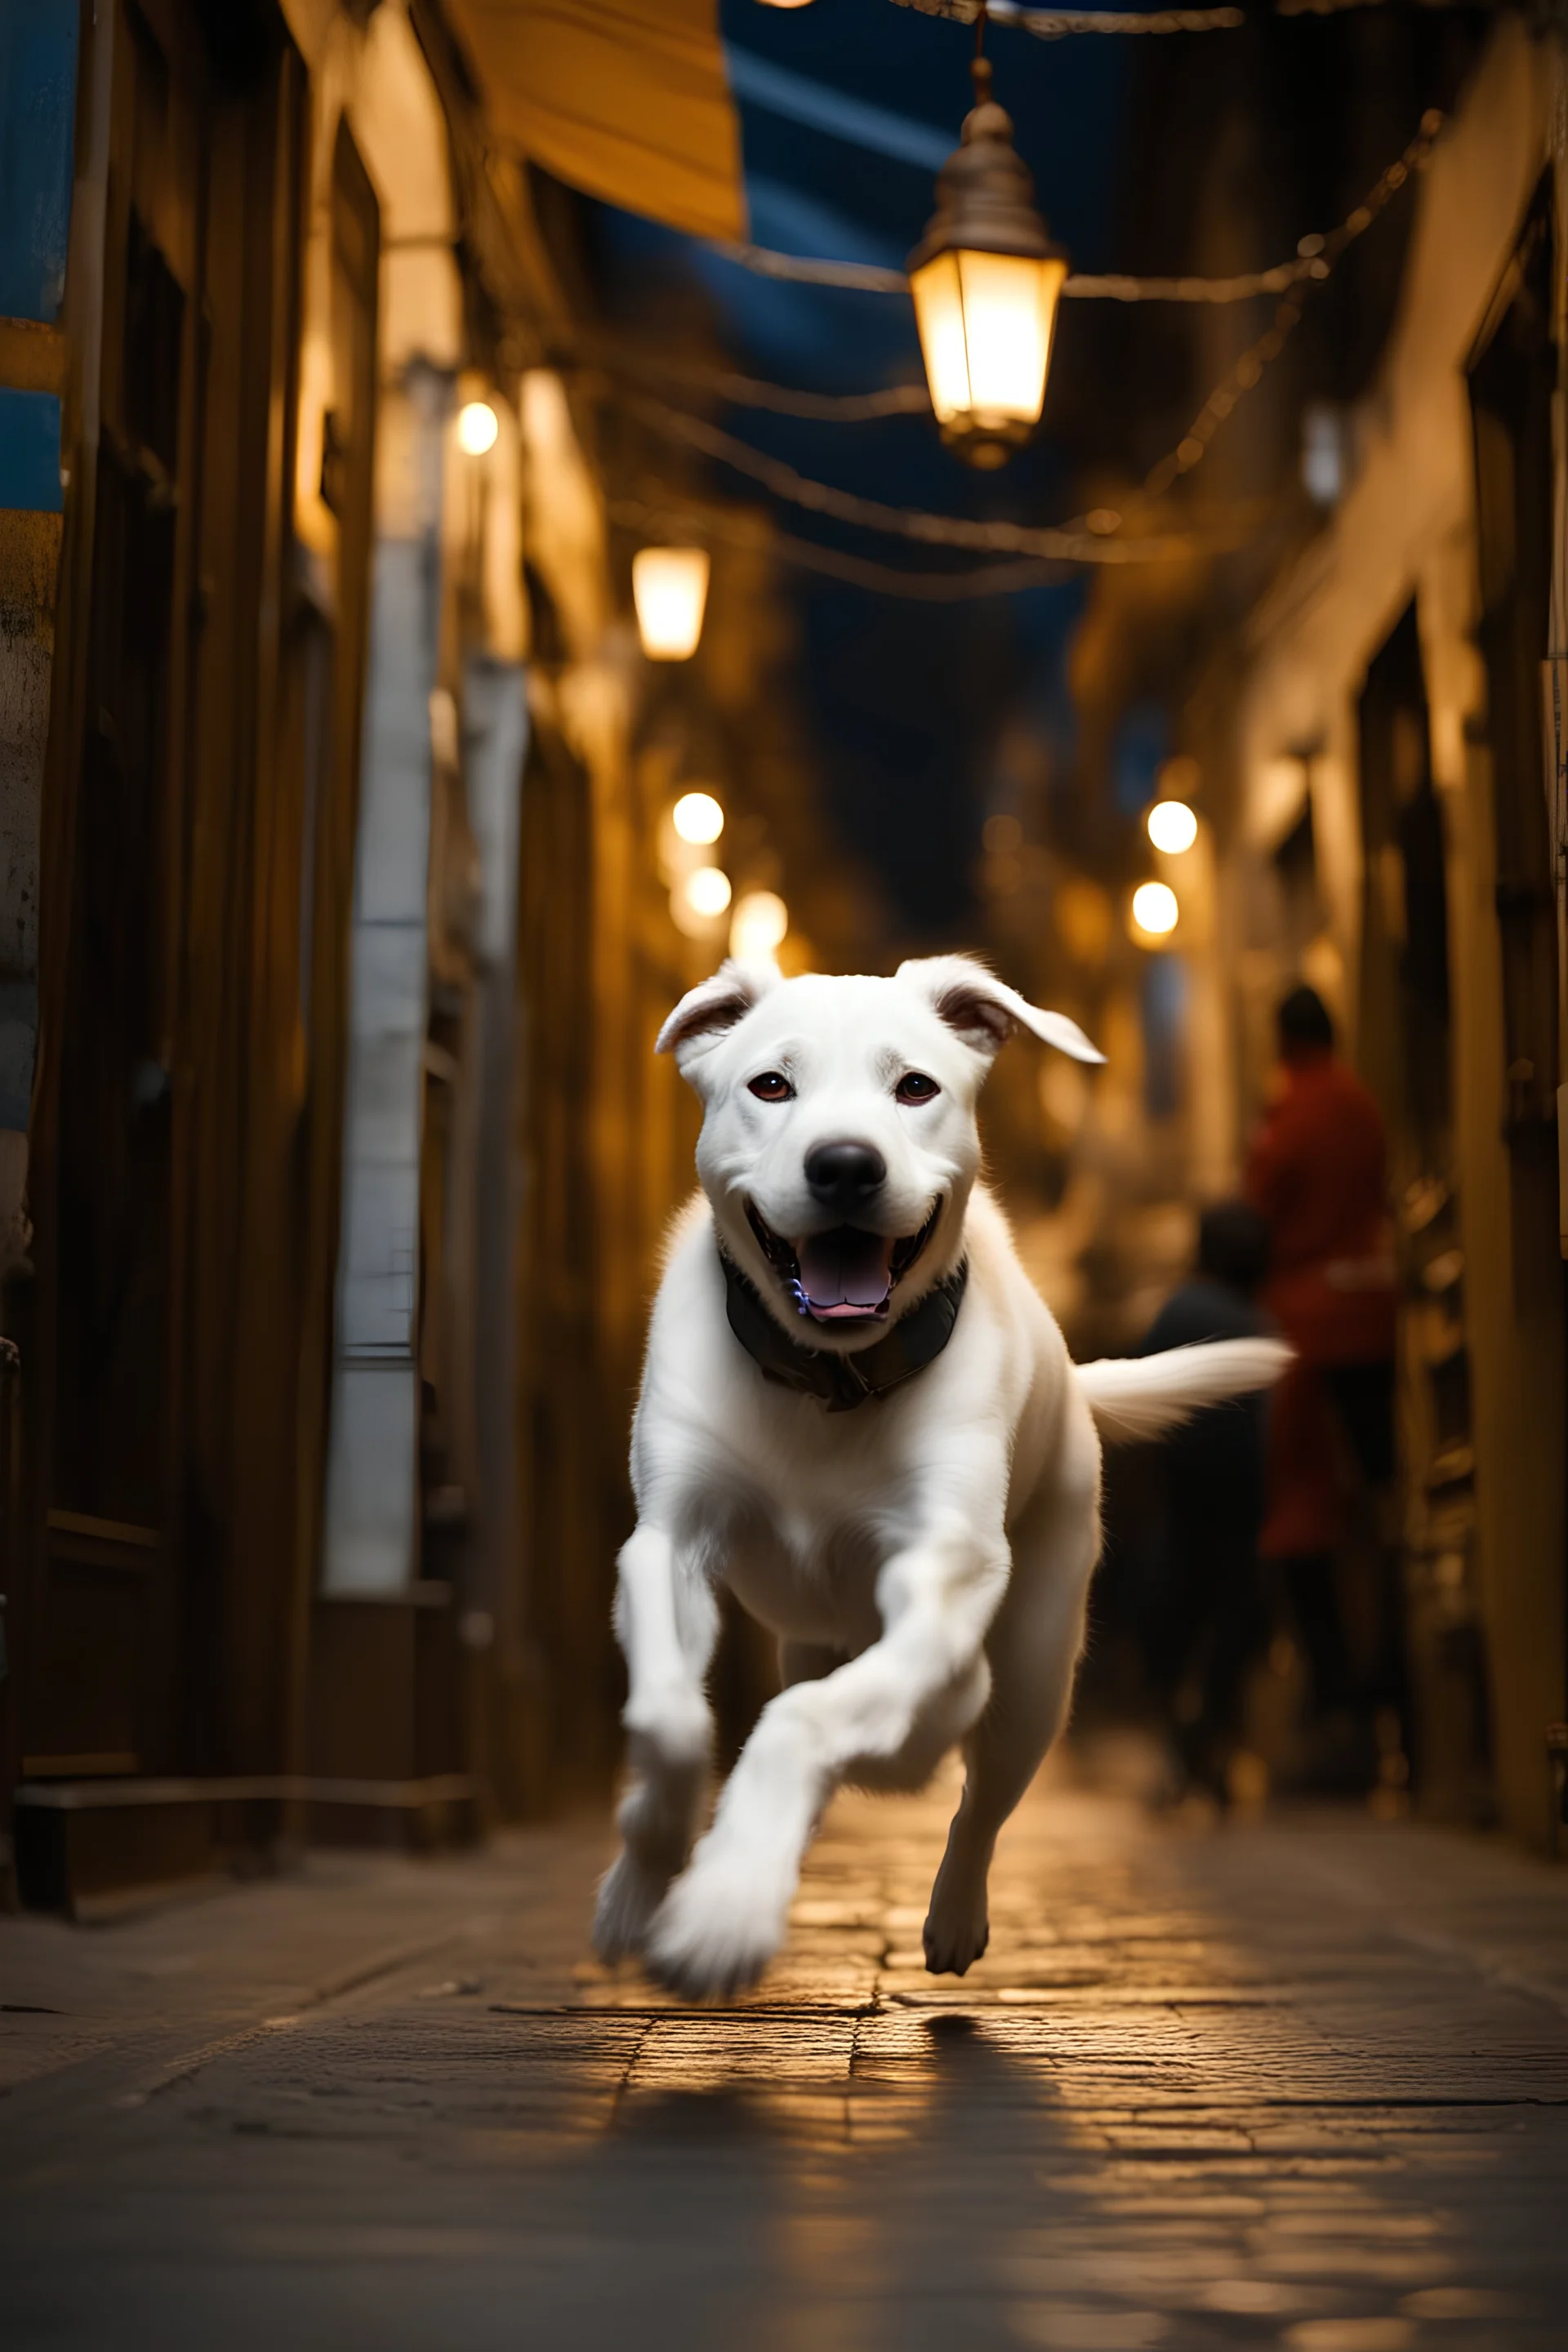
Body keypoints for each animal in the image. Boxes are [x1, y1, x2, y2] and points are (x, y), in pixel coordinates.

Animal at [587, 955, 1288, 2003]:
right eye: (770, 1085)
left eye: (915, 1087)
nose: (845, 1164)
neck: (829, 1386)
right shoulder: (667, 1546)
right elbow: (669, 1722)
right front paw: (644, 1884)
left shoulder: (941, 1573)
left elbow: (799, 1726)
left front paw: (726, 1906)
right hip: (817, 1638)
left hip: (1035, 1670)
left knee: (974, 1780)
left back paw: (952, 1903)